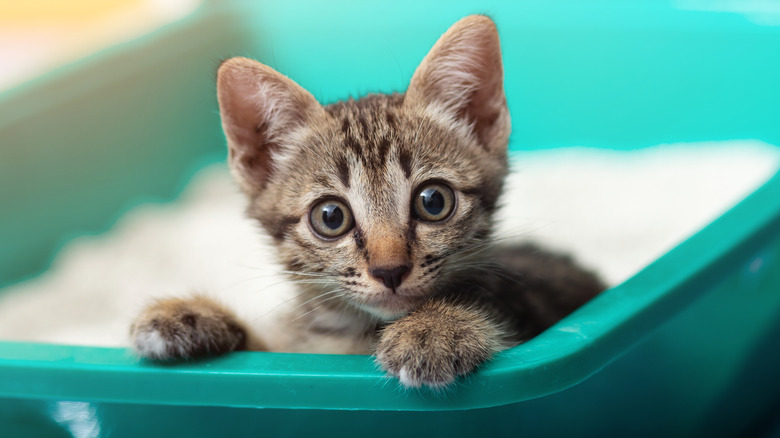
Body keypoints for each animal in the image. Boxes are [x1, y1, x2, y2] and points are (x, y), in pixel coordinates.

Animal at [131, 15, 604, 388]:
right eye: (330, 216)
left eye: (434, 201)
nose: (389, 270)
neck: (358, 334)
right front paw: (191, 316)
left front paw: (436, 327)